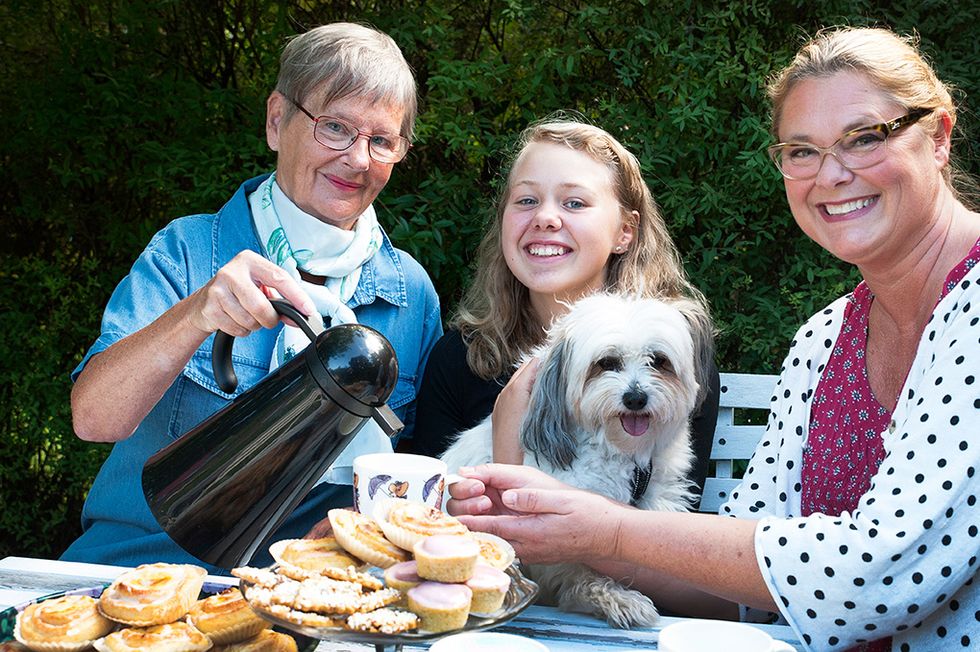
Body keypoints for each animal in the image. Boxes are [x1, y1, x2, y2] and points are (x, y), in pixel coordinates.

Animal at [440, 292, 708, 628]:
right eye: (606, 363)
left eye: (659, 361)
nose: (635, 398)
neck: (625, 454)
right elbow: (581, 568)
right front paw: (610, 596)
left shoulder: (656, 500)